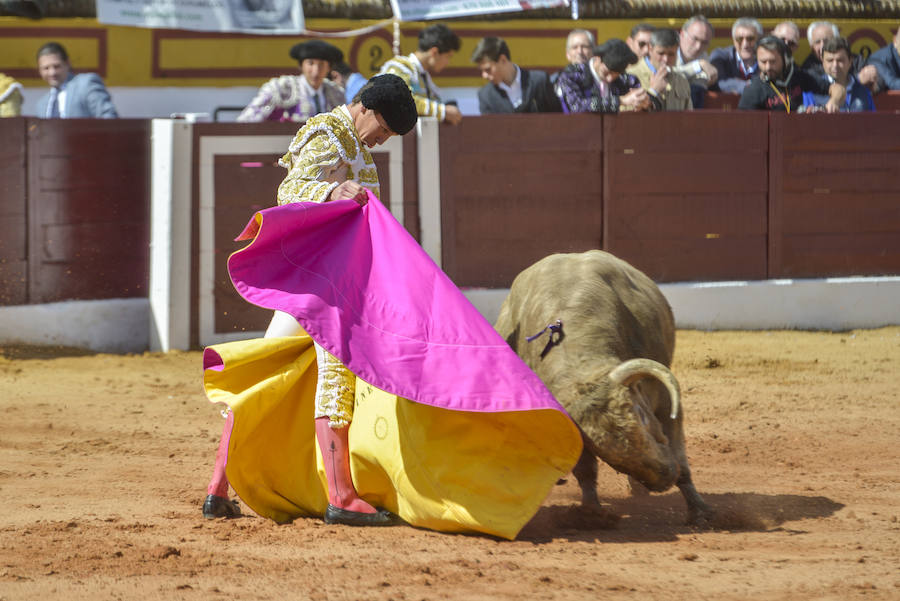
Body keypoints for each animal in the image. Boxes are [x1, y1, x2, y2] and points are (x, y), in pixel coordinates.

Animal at [496, 251, 712, 524]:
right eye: (594, 446)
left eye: (641, 415)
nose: (663, 480)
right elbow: (586, 469)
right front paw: (592, 512)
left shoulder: (666, 402)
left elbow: (680, 455)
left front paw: (701, 512)